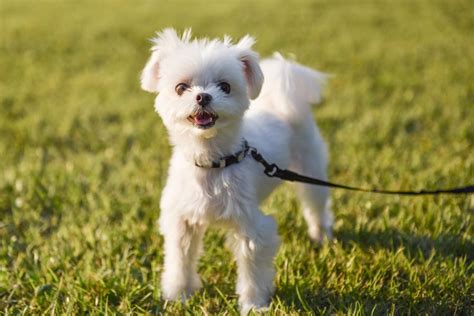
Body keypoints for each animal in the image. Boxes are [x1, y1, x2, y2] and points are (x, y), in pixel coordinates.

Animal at [141, 29, 334, 314]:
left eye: (225, 87)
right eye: (181, 88)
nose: (203, 96)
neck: (213, 163)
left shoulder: (252, 228)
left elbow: (253, 271)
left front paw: (253, 304)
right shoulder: (182, 221)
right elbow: (180, 260)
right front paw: (179, 295)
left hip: (311, 168)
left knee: (315, 204)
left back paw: (321, 236)